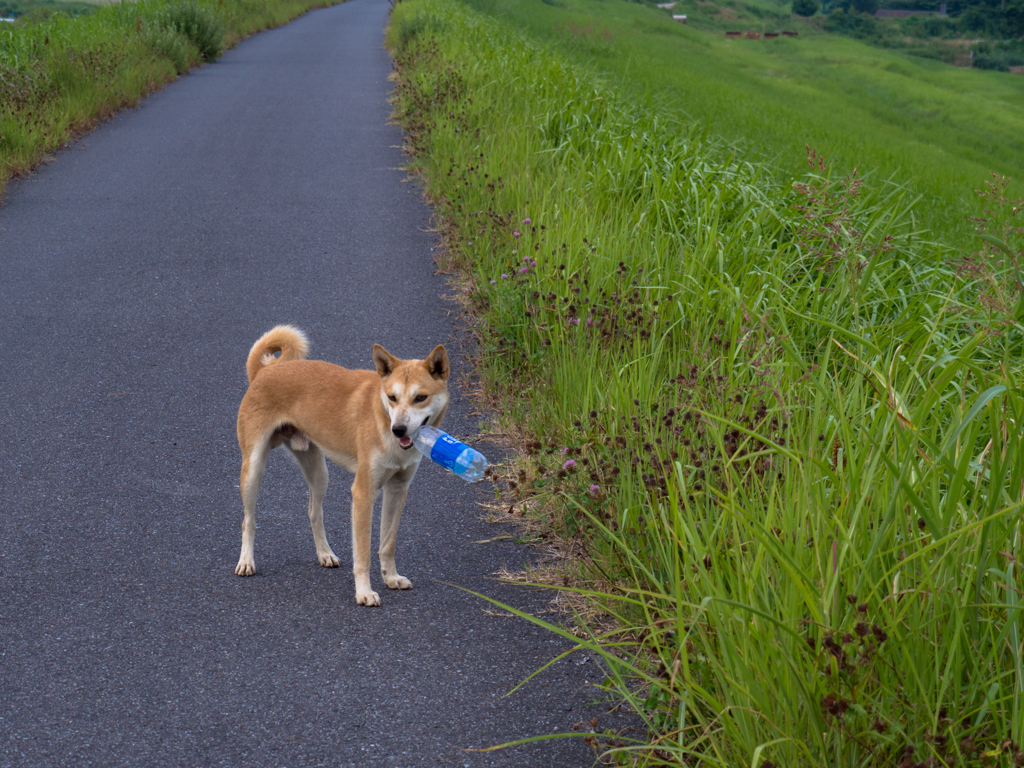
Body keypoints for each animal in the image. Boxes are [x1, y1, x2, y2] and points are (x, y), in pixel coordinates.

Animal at [239, 325, 452, 606]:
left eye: (420, 397)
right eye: (392, 397)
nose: (398, 430)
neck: (383, 415)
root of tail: (264, 371)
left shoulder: (397, 490)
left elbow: (387, 543)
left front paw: (391, 577)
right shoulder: (363, 493)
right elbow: (363, 553)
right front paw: (364, 592)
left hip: (319, 473)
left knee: (313, 511)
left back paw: (325, 553)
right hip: (253, 469)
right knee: (248, 521)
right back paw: (246, 561)